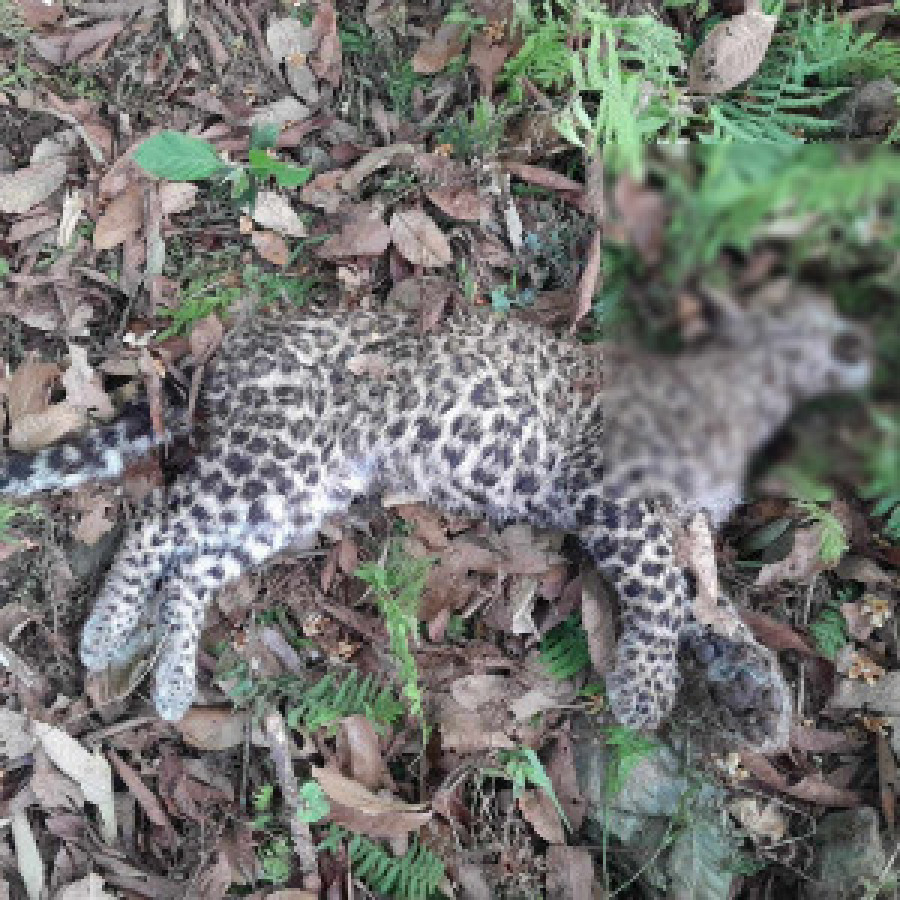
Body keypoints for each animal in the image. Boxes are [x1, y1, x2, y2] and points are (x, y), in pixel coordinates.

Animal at [0, 292, 871, 750]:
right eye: (831, 329)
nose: (868, 344)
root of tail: (243, 339)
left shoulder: (676, 522)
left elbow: (707, 601)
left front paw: (753, 683)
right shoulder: (617, 499)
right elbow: (662, 595)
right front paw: (645, 693)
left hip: (293, 494)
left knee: (192, 566)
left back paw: (173, 678)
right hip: (272, 463)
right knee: (156, 519)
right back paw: (105, 632)